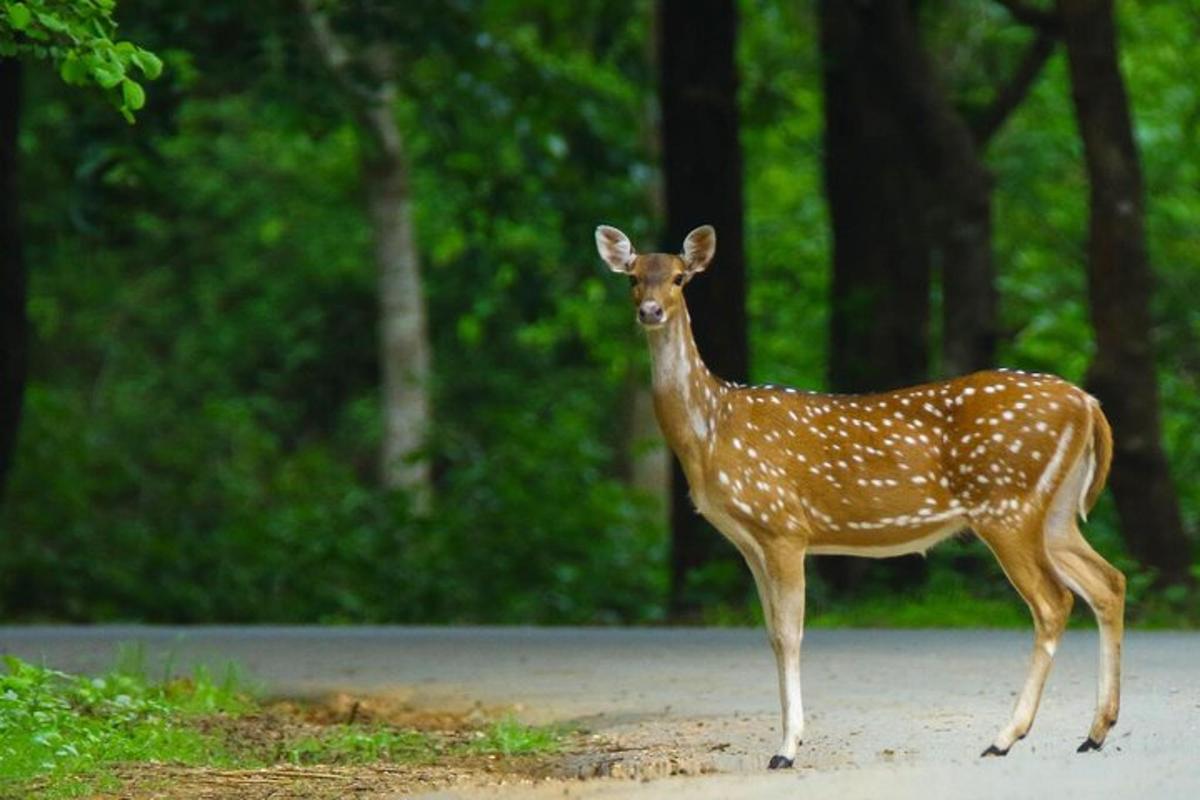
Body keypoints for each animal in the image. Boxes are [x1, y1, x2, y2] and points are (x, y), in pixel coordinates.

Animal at [600, 221, 1123, 767]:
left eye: (679, 278)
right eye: (632, 277)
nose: (650, 311)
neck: (710, 431)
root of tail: (1088, 404)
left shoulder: (783, 526)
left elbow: (790, 634)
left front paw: (787, 748)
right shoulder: (749, 542)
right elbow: (771, 636)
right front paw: (787, 740)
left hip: (1007, 505)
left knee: (1054, 602)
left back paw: (1006, 736)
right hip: (1055, 512)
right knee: (1108, 582)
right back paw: (1094, 732)